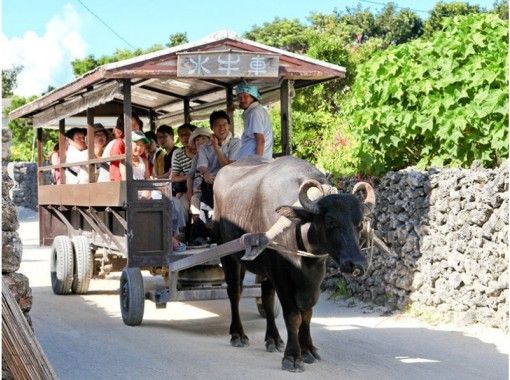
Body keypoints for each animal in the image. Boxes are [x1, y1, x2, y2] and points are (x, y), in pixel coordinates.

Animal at [211, 156, 374, 372]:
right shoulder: (281, 274)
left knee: (267, 298)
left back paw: (273, 339)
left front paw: (308, 350)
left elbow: (307, 312)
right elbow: (293, 314)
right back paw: (238, 334)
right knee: (235, 292)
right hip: (228, 255)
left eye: (360, 223)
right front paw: (293, 356)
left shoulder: (314, 276)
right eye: (330, 221)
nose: (356, 264)